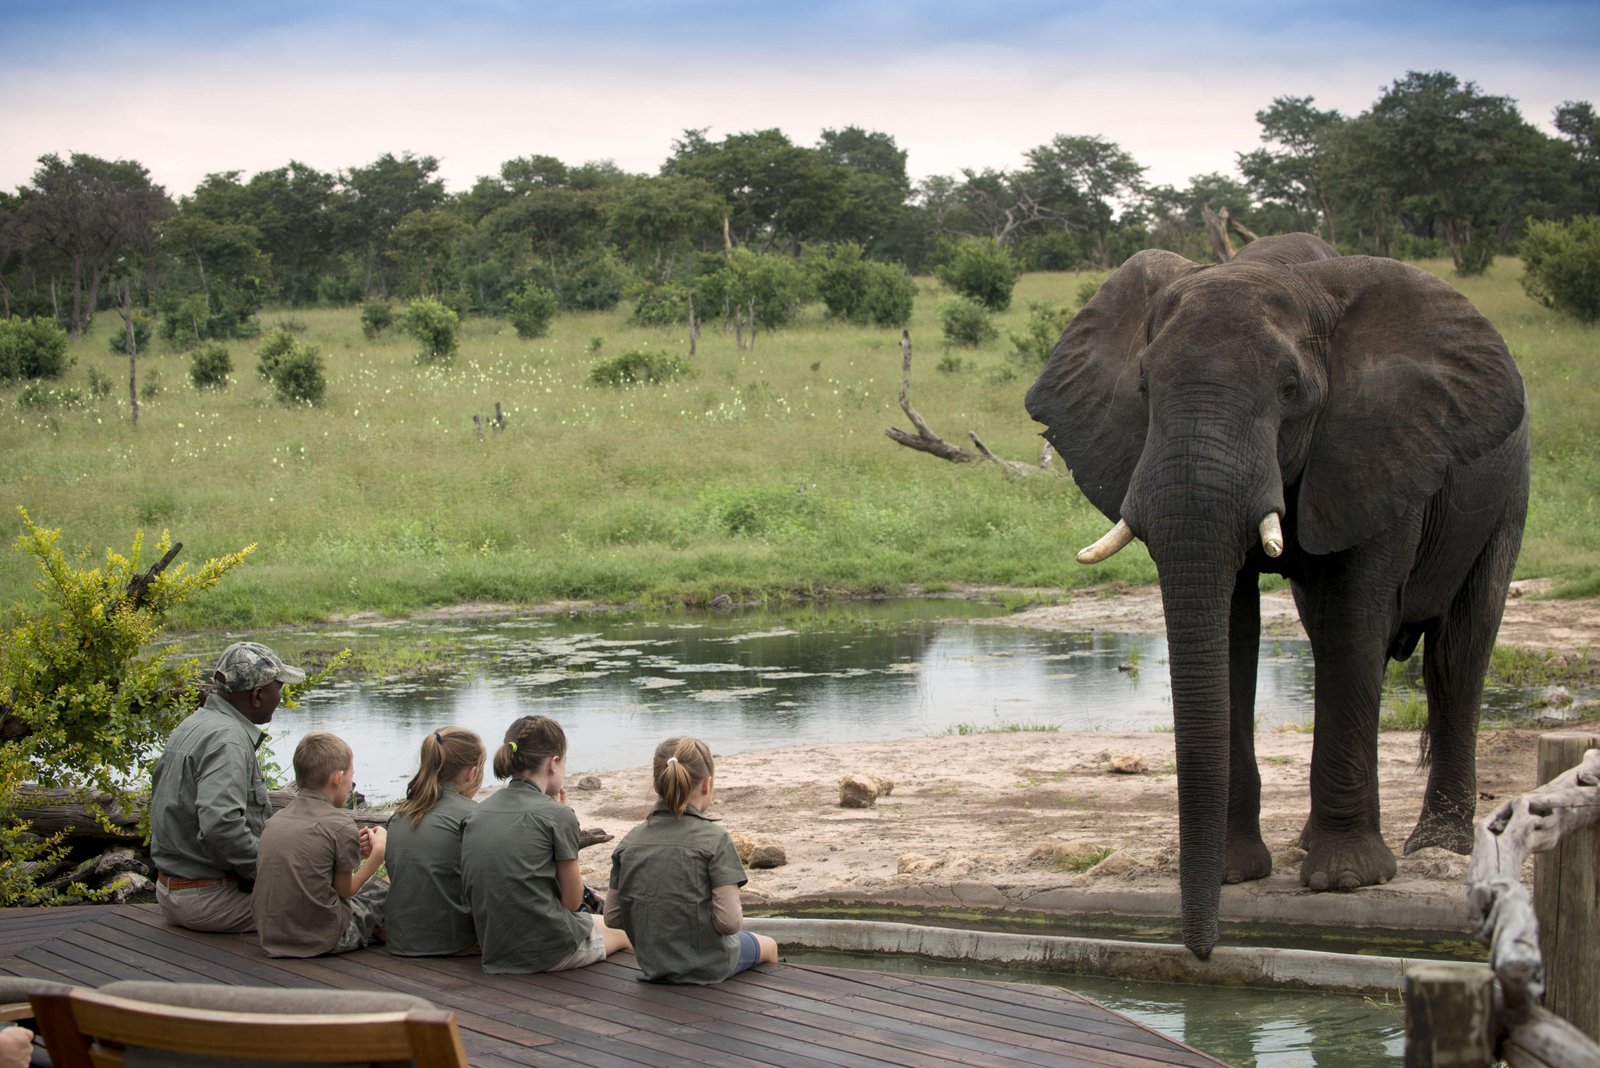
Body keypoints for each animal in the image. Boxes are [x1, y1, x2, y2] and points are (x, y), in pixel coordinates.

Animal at [1024, 233, 1529, 958]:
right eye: (1143, 388)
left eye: (1292, 391)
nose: (1202, 953)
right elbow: (1234, 628)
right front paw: (1234, 873)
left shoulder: (1375, 444)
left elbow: (1354, 615)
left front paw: (1346, 881)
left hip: (1507, 490)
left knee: (1457, 651)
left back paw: (1437, 847)